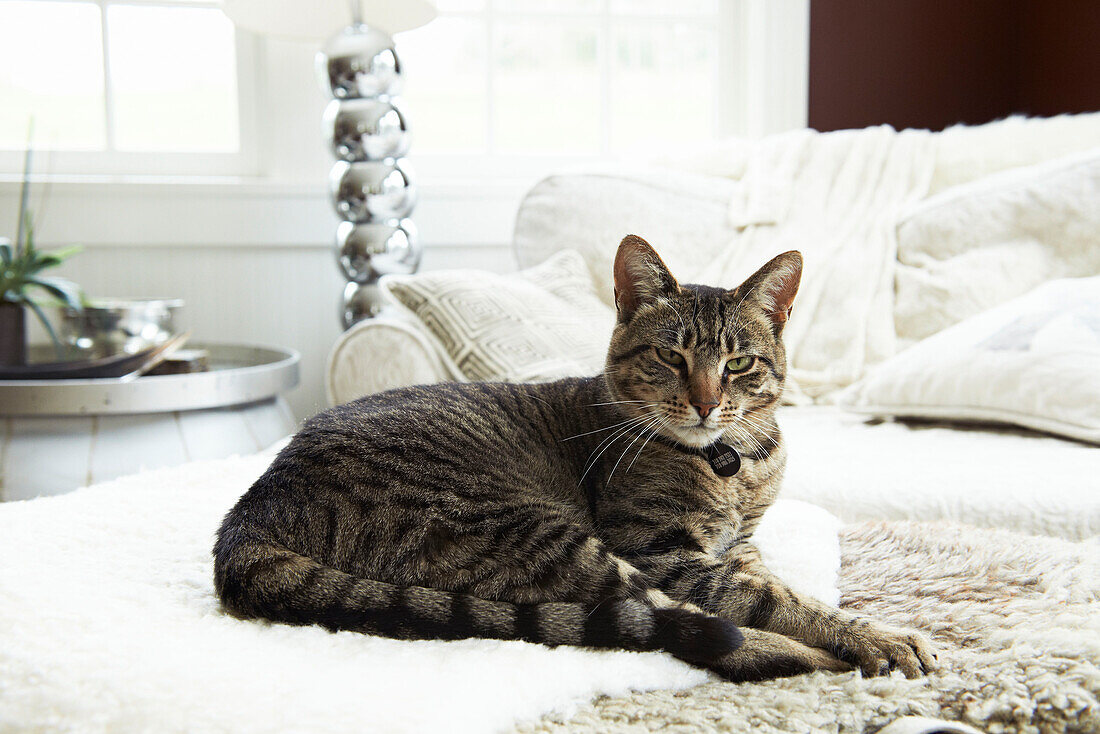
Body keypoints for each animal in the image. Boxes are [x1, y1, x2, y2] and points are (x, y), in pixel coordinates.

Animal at [216, 236, 937, 682]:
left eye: (737, 363)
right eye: (670, 356)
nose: (707, 404)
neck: (733, 463)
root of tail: (251, 512)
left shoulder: (740, 545)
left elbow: (772, 582)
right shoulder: (663, 549)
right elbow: (770, 599)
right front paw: (874, 636)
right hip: (541, 534)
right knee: (671, 624)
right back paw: (799, 657)